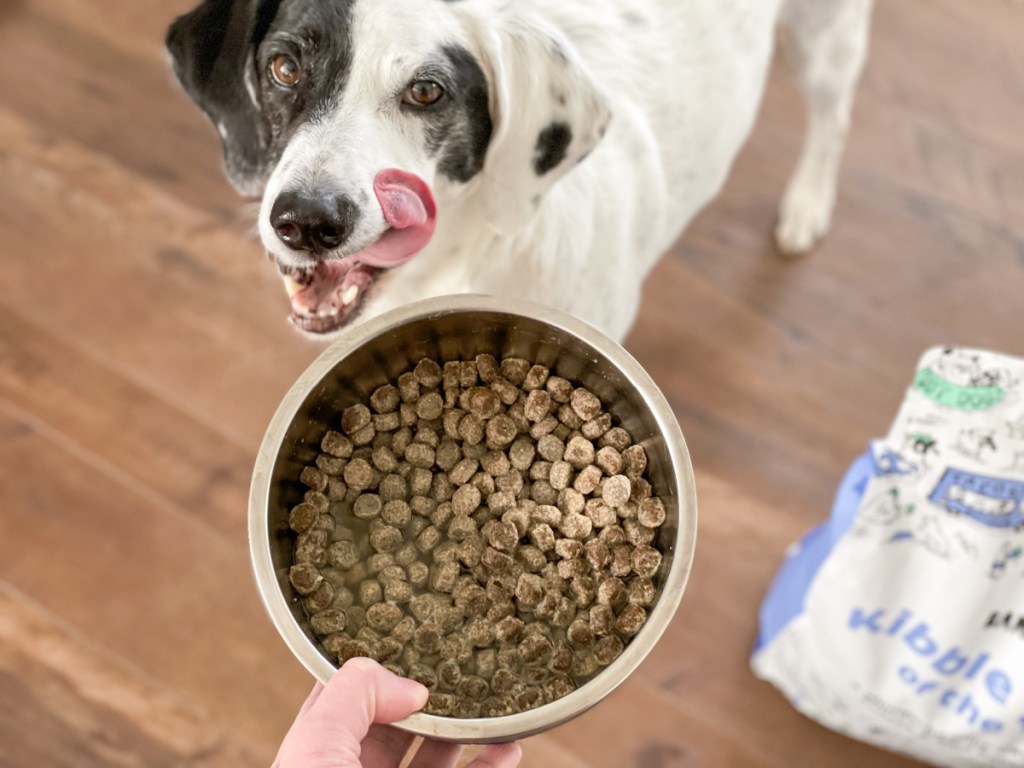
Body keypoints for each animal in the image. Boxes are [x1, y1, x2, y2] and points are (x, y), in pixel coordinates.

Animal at [165, 0, 872, 342]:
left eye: (427, 91)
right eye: (284, 68)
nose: (308, 222)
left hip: (824, 42)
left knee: (835, 117)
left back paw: (807, 205)